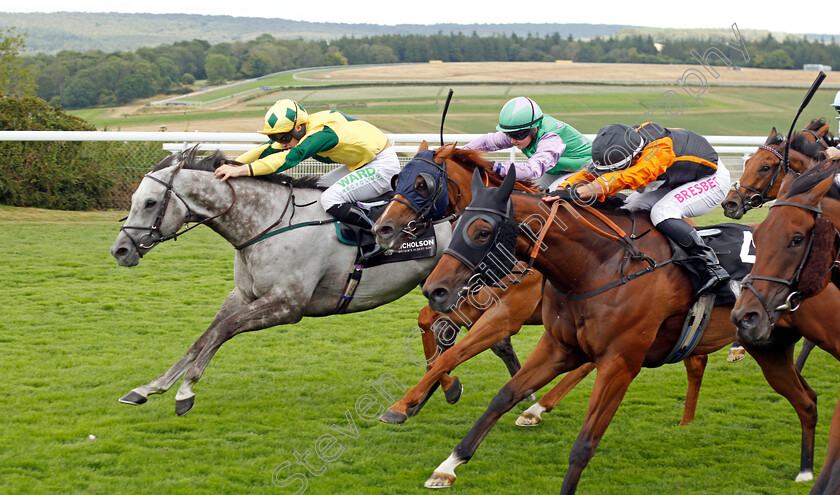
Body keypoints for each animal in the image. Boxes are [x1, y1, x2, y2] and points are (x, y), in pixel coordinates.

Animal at [111, 149, 456, 416]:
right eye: (134, 199)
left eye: (151, 203)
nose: (120, 250)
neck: (268, 223)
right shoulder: (243, 295)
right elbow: (206, 336)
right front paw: (150, 387)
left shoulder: (288, 305)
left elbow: (224, 330)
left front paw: (185, 392)